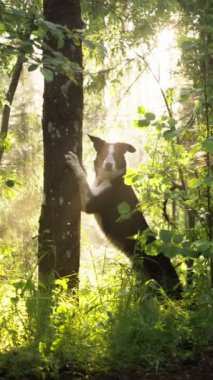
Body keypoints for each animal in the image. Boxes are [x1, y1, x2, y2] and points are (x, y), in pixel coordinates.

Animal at [65, 135, 181, 298]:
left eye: (117, 155)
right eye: (103, 153)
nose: (108, 164)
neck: (111, 179)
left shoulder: (89, 204)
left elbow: (82, 177)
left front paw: (74, 162)